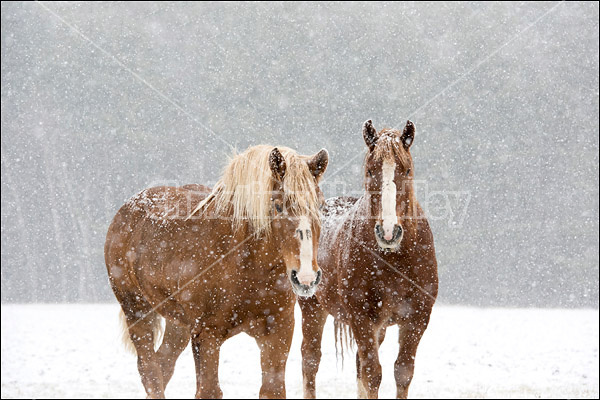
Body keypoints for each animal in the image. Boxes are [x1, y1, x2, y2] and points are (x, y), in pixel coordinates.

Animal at [103, 145, 328, 398]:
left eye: (320, 206)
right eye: (278, 206)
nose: (306, 278)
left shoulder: (278, 331)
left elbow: (272, 390)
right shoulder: (207, 335)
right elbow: (209, 390)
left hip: (178, 324)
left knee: (163, 365)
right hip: (136, 310)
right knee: (150, 372)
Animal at [298, 120, 436, 398]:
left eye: (407, 170)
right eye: (371, 170)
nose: (388, 232)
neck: (394, 259)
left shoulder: (417, 318)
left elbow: (402, 372)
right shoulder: (362, 318)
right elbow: (373, 374)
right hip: (312, 307)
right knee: (310, 361)